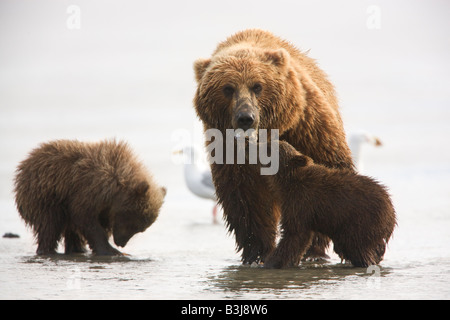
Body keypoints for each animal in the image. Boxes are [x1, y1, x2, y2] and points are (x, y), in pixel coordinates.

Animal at [192, 29, 354, 264]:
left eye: (257, 86)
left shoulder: (306, 127)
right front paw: (257, 252)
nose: (245, 118)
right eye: (228, 88)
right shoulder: (230, 151)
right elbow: (246, 199)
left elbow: (326, 171)